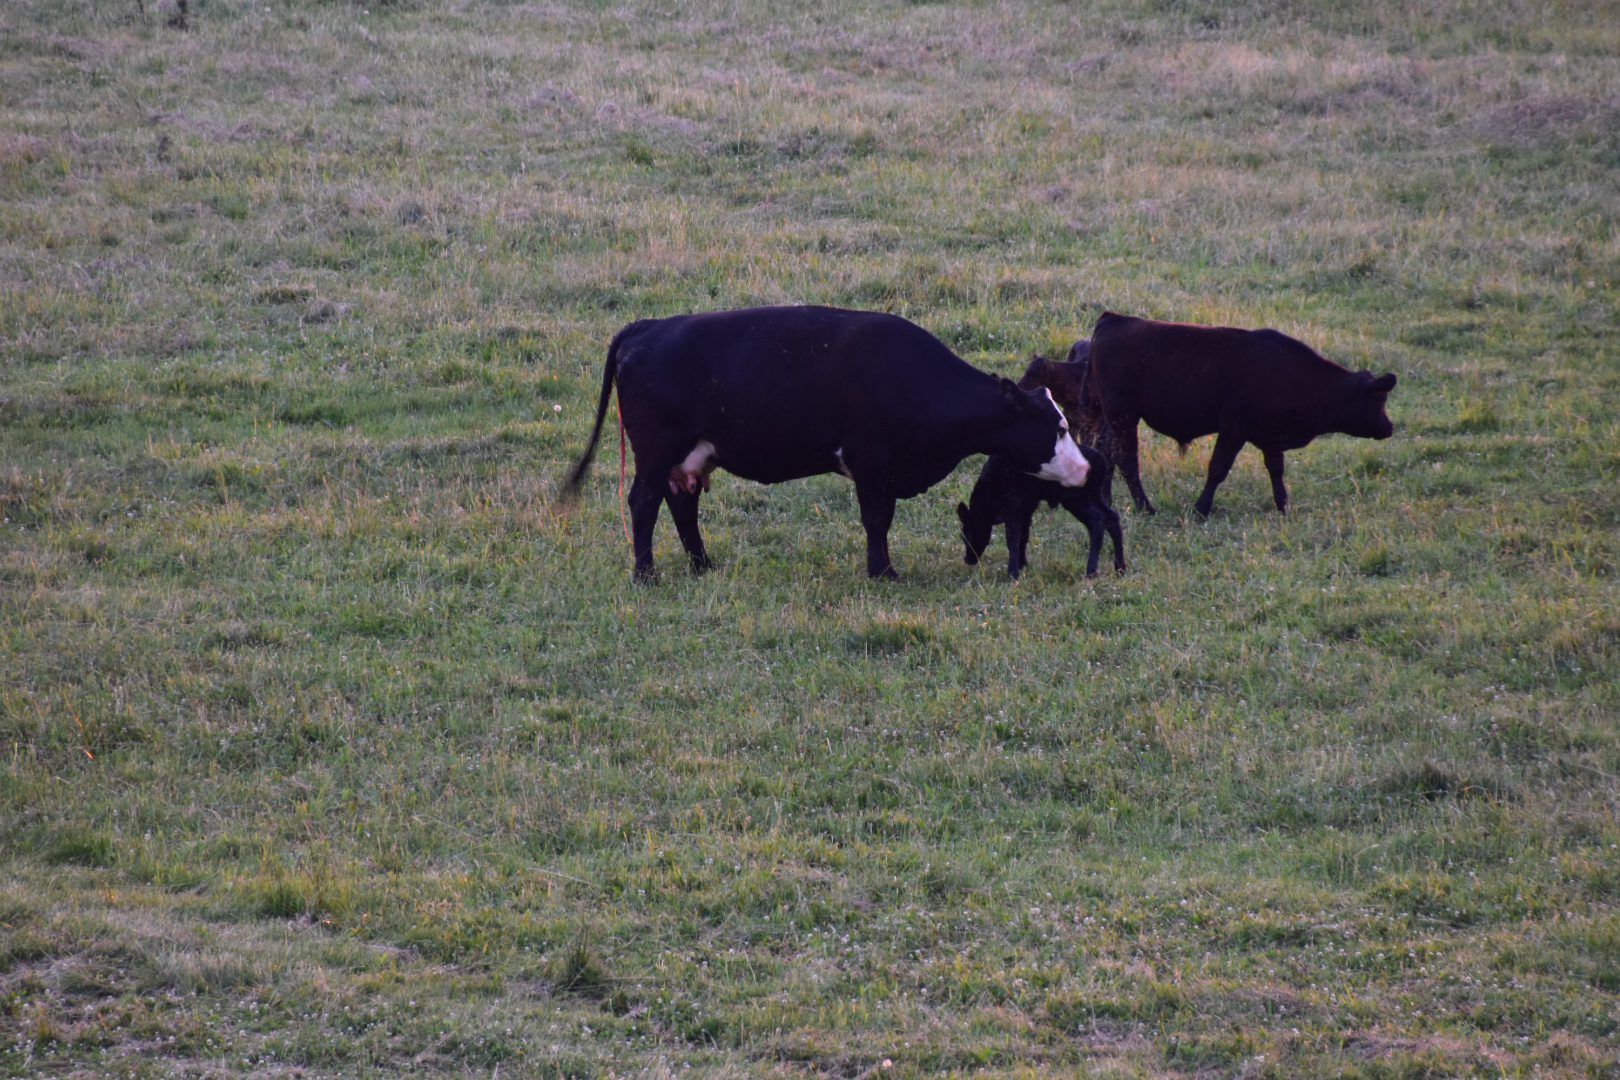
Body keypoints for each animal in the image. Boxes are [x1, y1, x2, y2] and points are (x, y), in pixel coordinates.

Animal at [558, 305, 1091, 581]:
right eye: (1059, 428)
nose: (1086, 468)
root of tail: (647, 327)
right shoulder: (871, 462)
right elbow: (877, 519)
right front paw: (883, 572)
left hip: (690, 456)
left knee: (681, 505)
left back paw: (702, 565)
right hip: (654, 453)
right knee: (643, 502)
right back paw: (646, 573)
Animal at [956, 440, 1125, 579]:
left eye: (966, 534)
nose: (968, 559)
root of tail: (1101, 463)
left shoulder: (1013, 505)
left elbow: (1012, 539)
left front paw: (1012, 573)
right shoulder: (1027, 507)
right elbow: (1024, 536)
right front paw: (1022, 565)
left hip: (1076, 497)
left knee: (1097, 521)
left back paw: (1091, 570)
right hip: (1093, 494)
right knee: (1112, 518)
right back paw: (1120, 568)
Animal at [1083, 312, 1397, 517]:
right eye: (1379, 399)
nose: (1389, 427)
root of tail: (1113, 319)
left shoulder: (1271, 436)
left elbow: (1276, 469)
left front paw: (1284, 506)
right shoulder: (1235, 429)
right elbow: (1218, 468)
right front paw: (1201, 509)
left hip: (1110, 417)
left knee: (1107, 453)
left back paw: (1108, 500)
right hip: (1124, 415)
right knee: (1126, 459)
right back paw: (1145, 508)